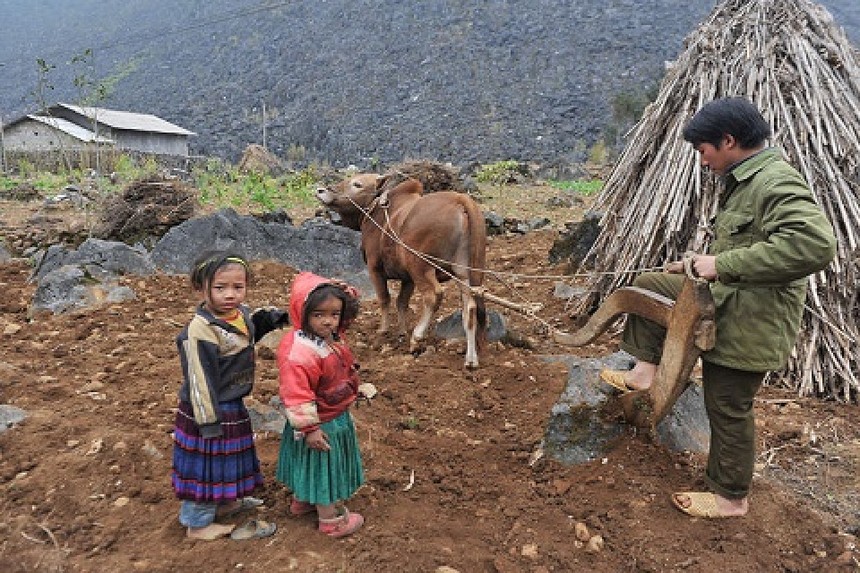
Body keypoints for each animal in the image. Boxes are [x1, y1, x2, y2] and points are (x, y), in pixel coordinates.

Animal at [318, 172, 490, 366]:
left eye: (357, 184)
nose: (321, 190)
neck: (377, 212)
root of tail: (460, 199)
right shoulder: (408, 278)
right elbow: (402, 302)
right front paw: (401, 332)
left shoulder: (375, 268)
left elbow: (385, 299)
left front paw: (383, 331)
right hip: (463, 273)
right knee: (470, 308)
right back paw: (471, 359)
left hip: (421, 266)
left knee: (433, 295)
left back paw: (417, 338)